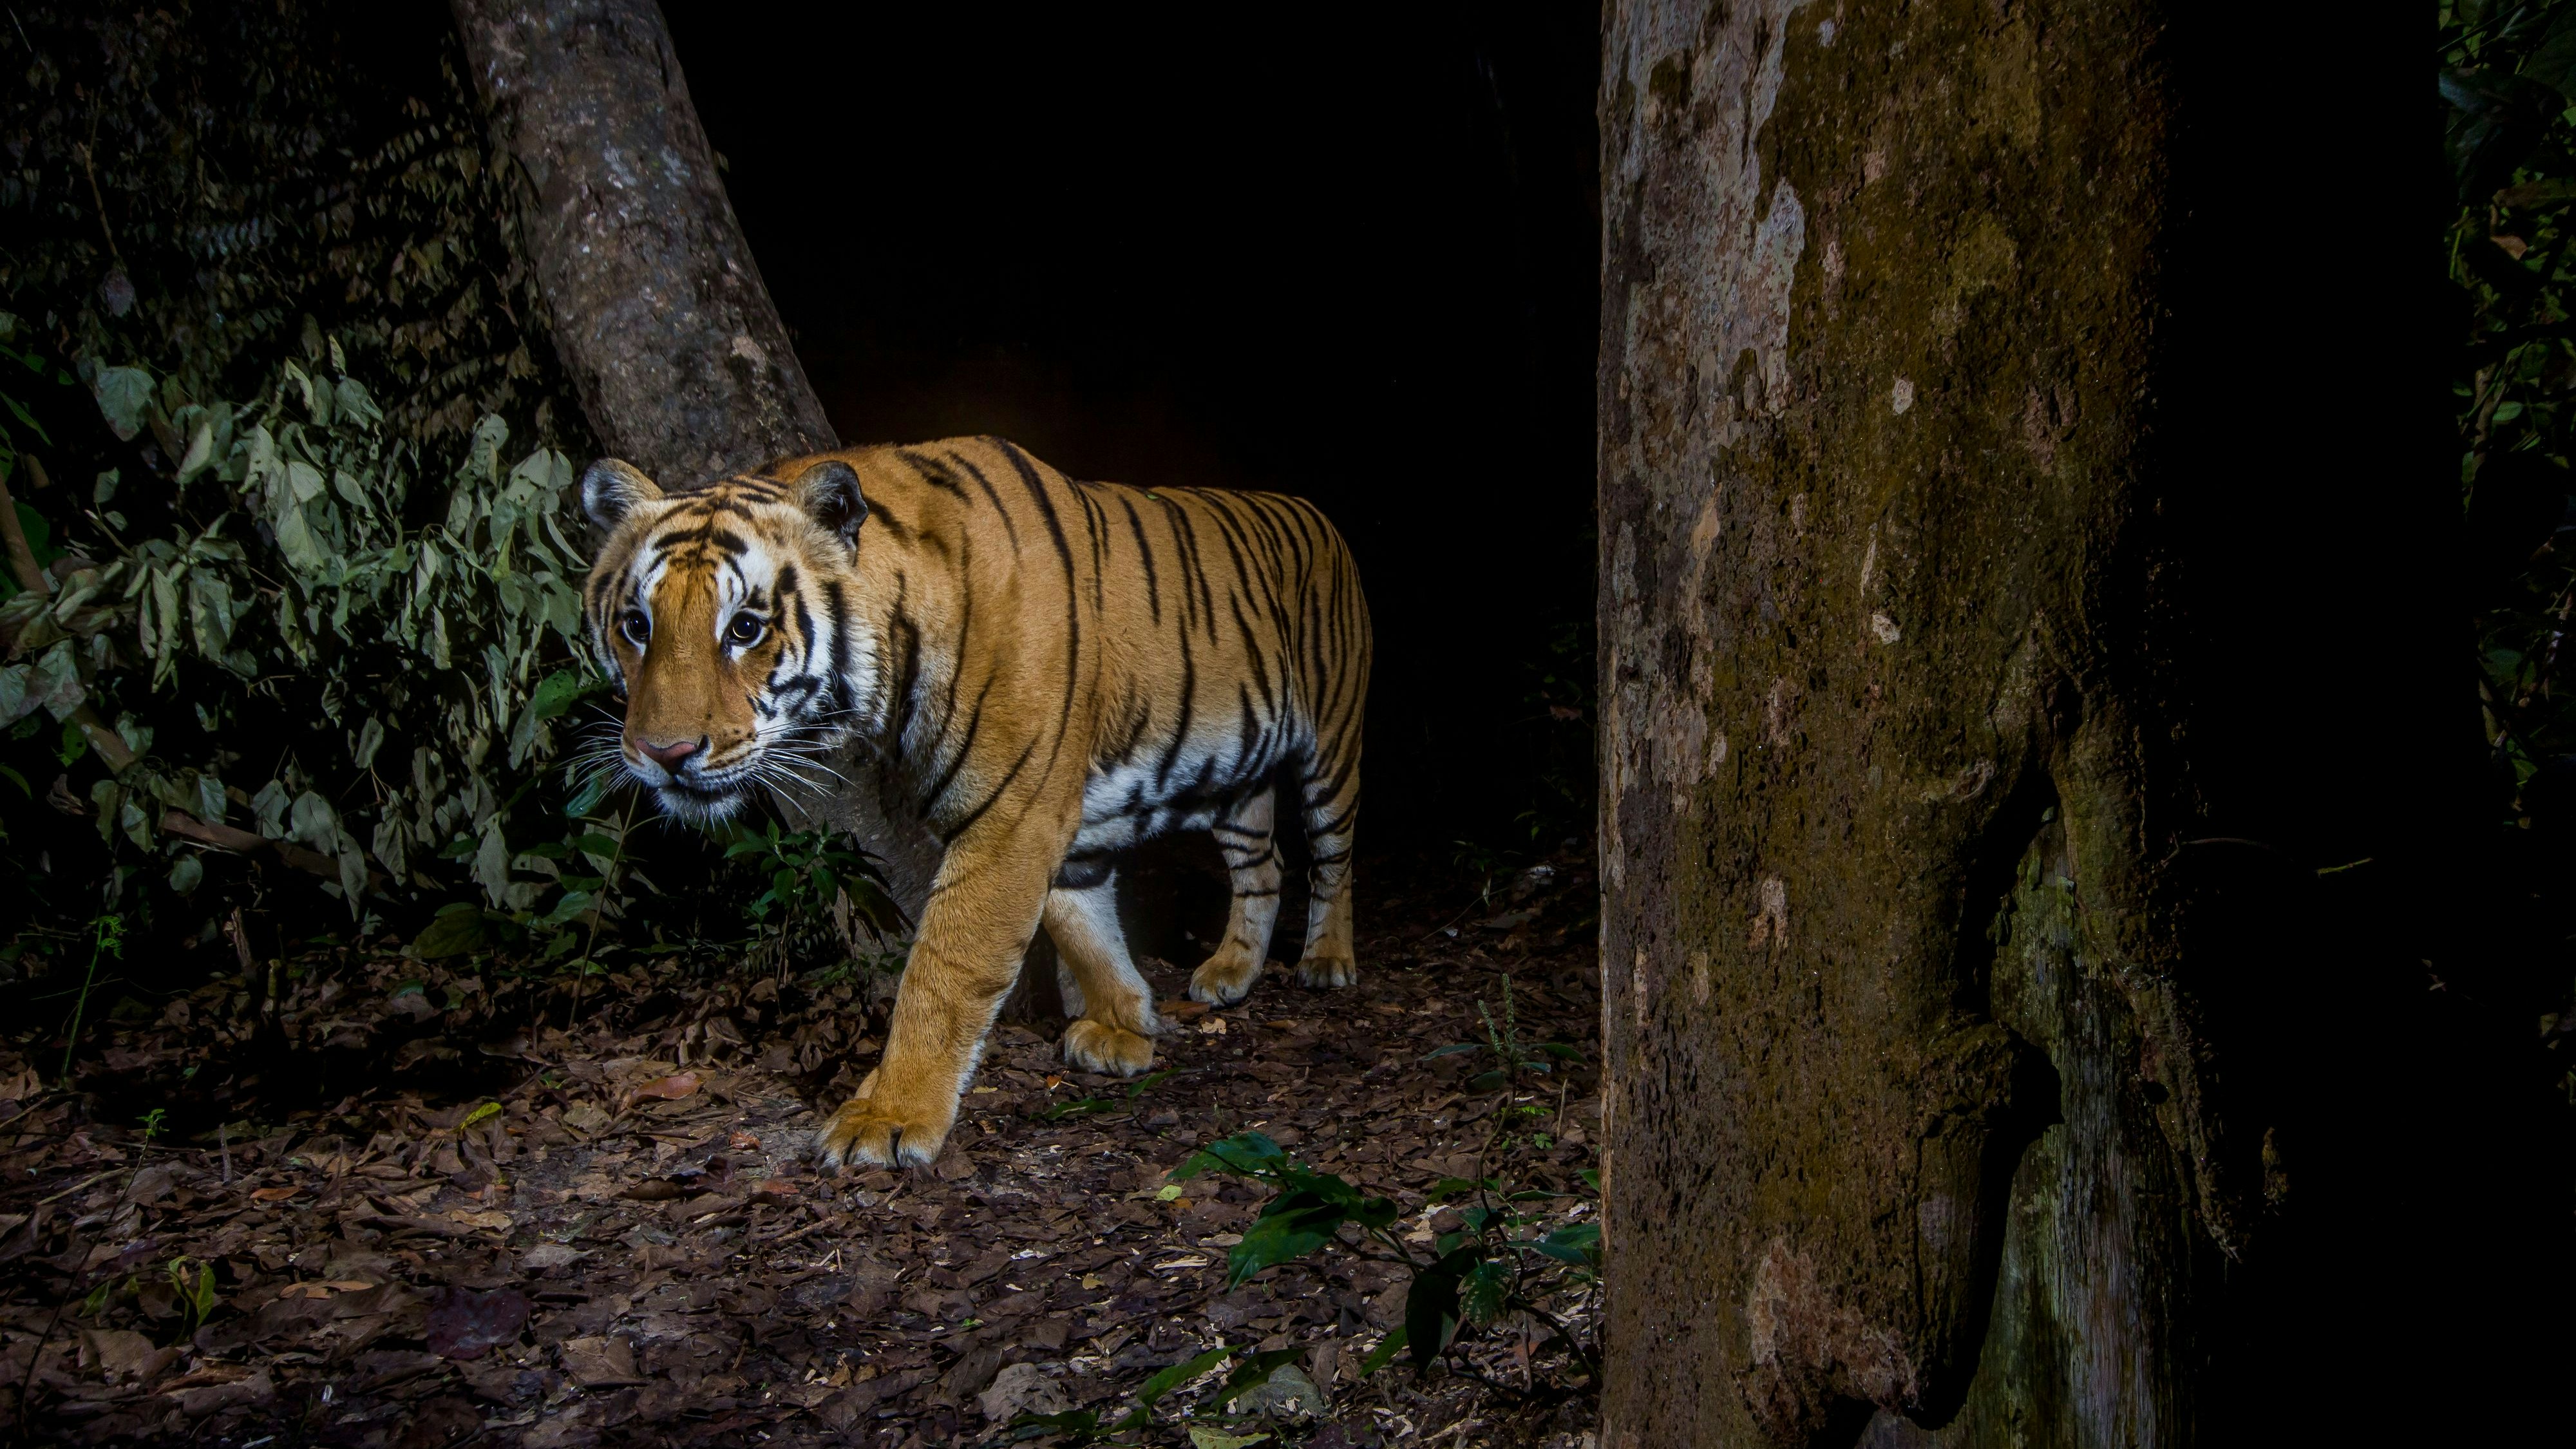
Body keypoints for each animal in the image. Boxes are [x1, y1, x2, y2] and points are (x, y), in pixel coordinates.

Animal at [578, 437, 1371, 1169]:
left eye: (744, 627)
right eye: (637, 625)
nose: (664, 753)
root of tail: (1317, 514)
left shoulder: (1012, 815)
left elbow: (946, 970)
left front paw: (889, 1118)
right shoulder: (1053, 819)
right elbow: (1081, 922)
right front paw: (1125, 1023)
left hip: (1331, 740)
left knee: (1333, 856)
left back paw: (1327, 961)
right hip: (1235, 779)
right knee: (1263, 868)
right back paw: (1230, 972)